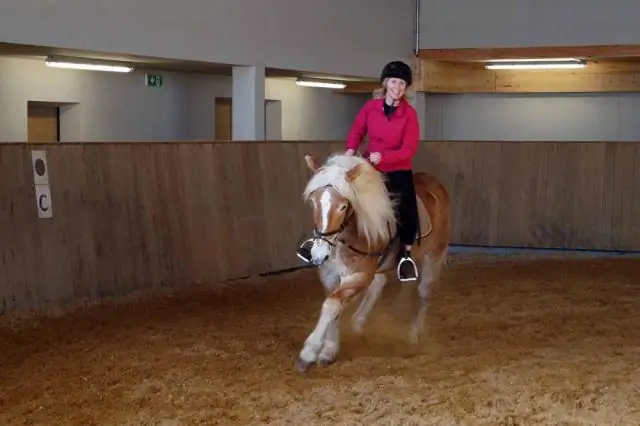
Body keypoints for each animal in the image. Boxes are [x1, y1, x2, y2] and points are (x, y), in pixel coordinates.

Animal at [296, 153, 450, 372]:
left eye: (343, 206)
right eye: (314, 202)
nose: (319, 253)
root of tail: (434, 183)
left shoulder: (359, 275)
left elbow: (331, 305)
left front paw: (309, 353)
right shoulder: (330, 276)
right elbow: (333, 306)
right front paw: (329, 350)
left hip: (433, 257)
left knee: (424, 294)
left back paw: (413, 334)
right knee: (379, 285)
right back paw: (359, 322)